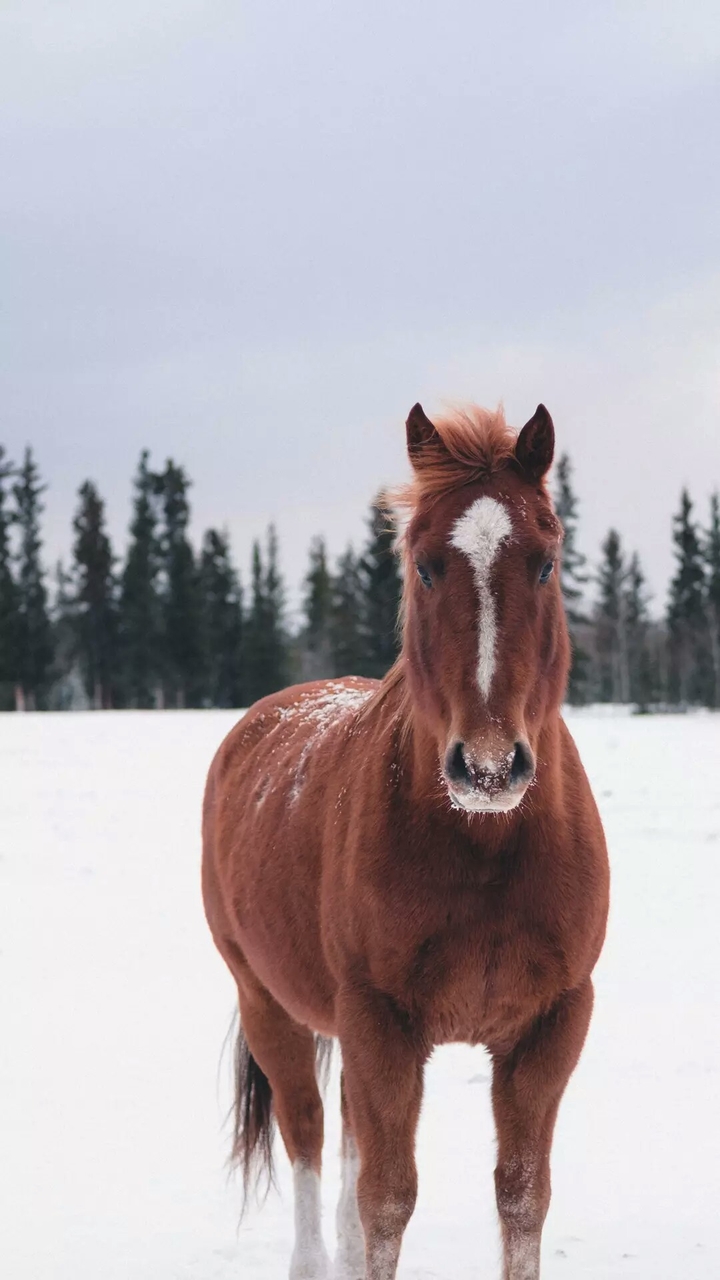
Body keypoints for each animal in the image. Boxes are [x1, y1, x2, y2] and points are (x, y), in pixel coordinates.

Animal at [202, 401, 609, 1280]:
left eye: (547, 563)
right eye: (425, 566)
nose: (488, 766)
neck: (485, 848)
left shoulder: (551, 1026)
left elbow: (521, 1198)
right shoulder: (379, 1024)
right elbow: (387, 1201)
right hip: (270, 1005)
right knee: (311, 1139)